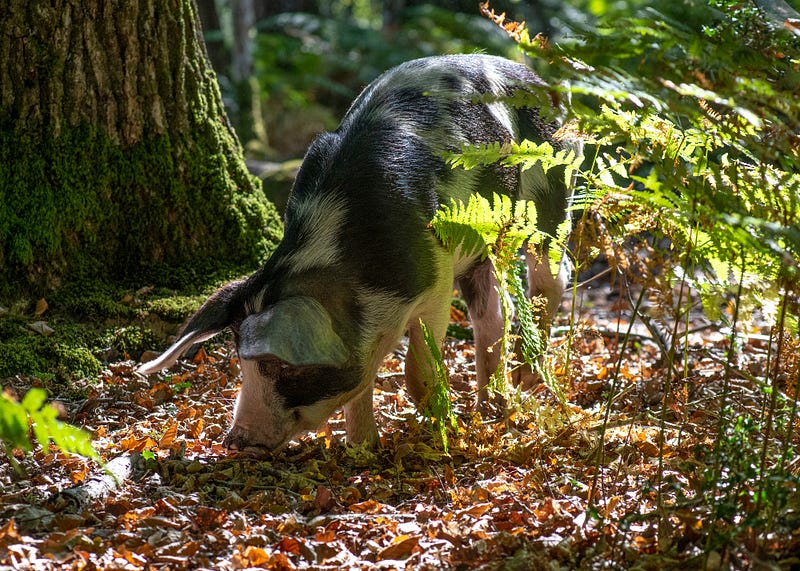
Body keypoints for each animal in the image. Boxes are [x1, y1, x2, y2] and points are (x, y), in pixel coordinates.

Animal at [139, 54, 580, 456]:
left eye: (281, 367)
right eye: (240, 360)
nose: (236, 441)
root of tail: (542, 83)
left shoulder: (434, 279)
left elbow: (418, 370)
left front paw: (442, 433)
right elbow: (363, 379)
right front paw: (362, 450)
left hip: (549, 198)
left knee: (552, 277)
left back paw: (525, 380)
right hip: (482, 252)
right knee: (494, 313)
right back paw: (492, 408)